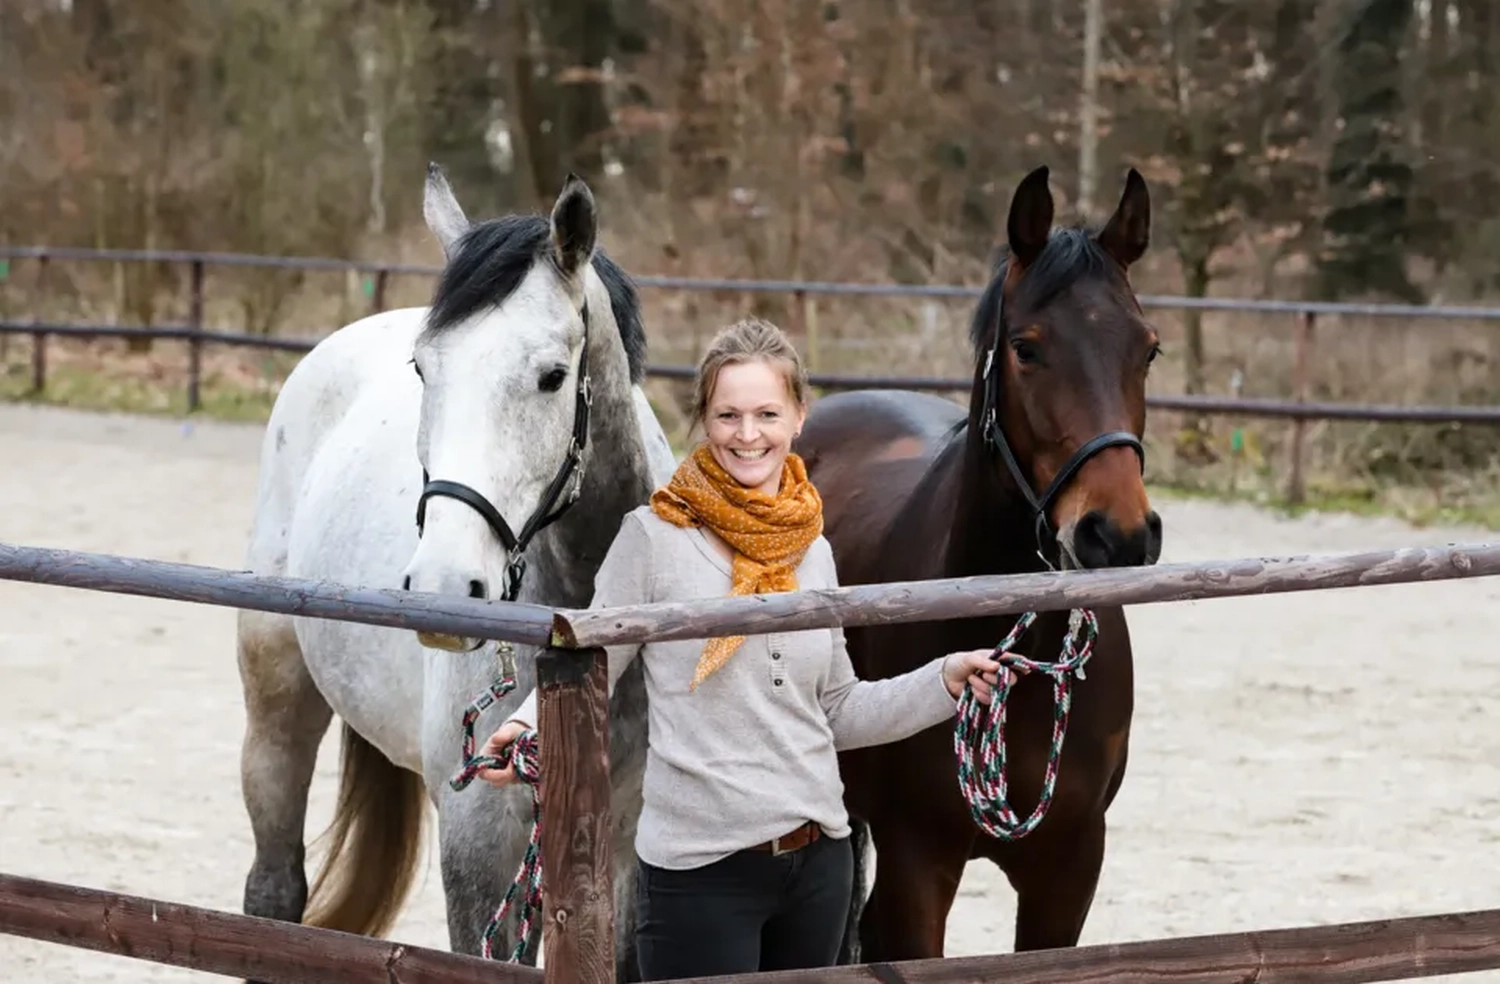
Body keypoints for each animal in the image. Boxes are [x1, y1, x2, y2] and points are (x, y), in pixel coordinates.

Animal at [235, 161, 675, 978]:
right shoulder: (478, 839)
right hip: (276, 708)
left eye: (552, 375)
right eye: (423, 368)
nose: (445, 585)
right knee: (272, 894)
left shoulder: (635, 843)